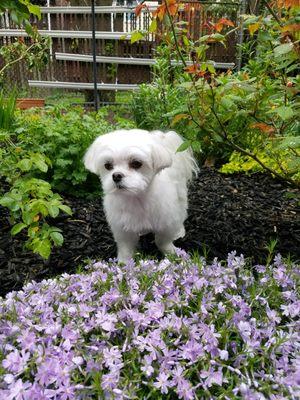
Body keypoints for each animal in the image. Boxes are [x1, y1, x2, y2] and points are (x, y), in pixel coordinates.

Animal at [84, 128, 197, 264]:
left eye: (136, 163)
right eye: (108, 165)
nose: (116, 175)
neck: (136, 198)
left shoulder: (165, 222)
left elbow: (162, 241)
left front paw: (171, 253)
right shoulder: (123, 229)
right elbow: (125, 248)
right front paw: (123, 263)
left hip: (180, 193)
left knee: (181, 210)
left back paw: (179, 230)